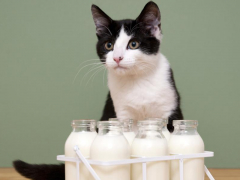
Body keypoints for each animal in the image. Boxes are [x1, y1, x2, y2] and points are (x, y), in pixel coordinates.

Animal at [13, 1, 183, 180]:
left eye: (133, 44)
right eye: (109, 45)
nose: (117, 58)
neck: (137, 81)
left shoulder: (169, 107)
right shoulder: (121, 111)